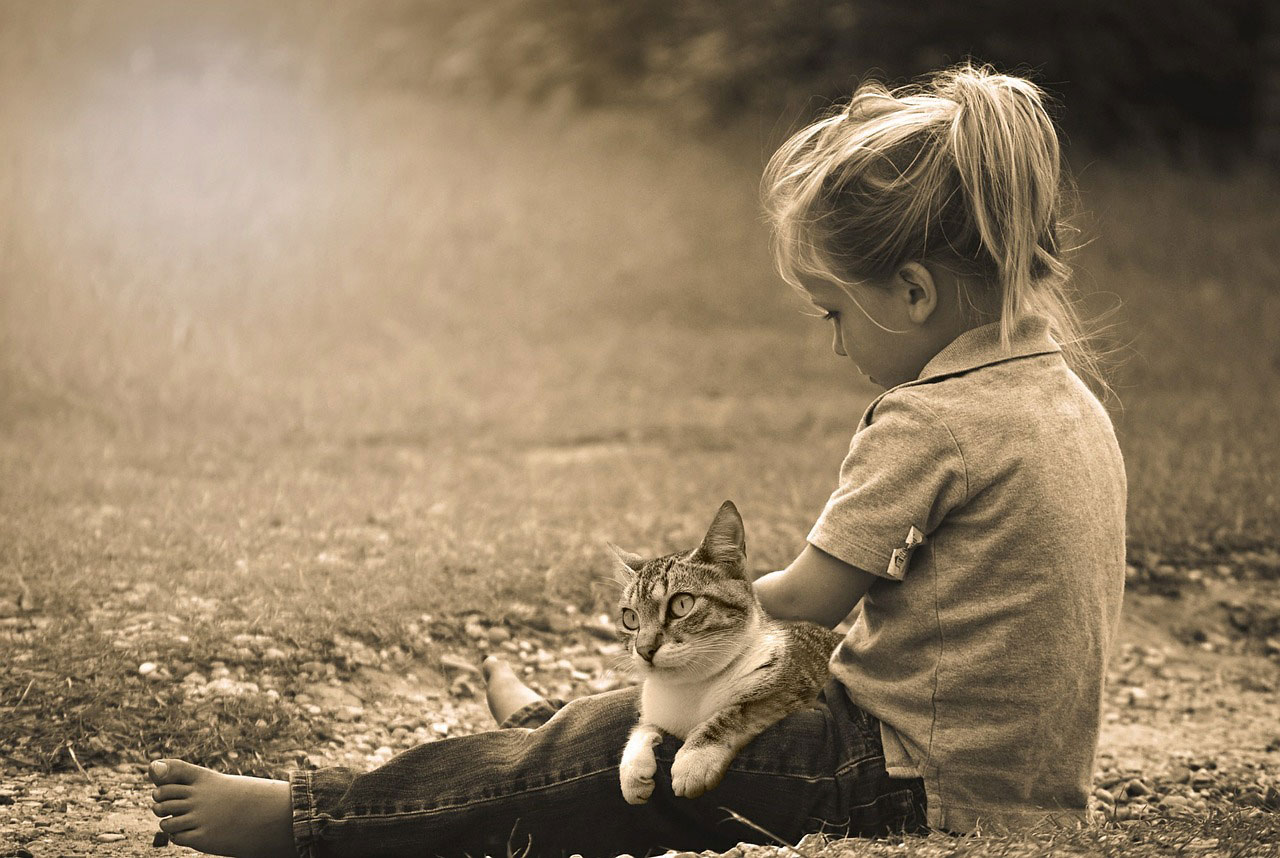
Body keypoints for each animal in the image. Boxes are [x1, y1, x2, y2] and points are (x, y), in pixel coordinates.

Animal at [611, 496, 844, 809]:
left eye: (681, 604)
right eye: (630, 618)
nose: (644, 649)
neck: (691, 687)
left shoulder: (798, 695)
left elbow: (735, 712)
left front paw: (694, 760)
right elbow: (643, 727)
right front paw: (633, 770)